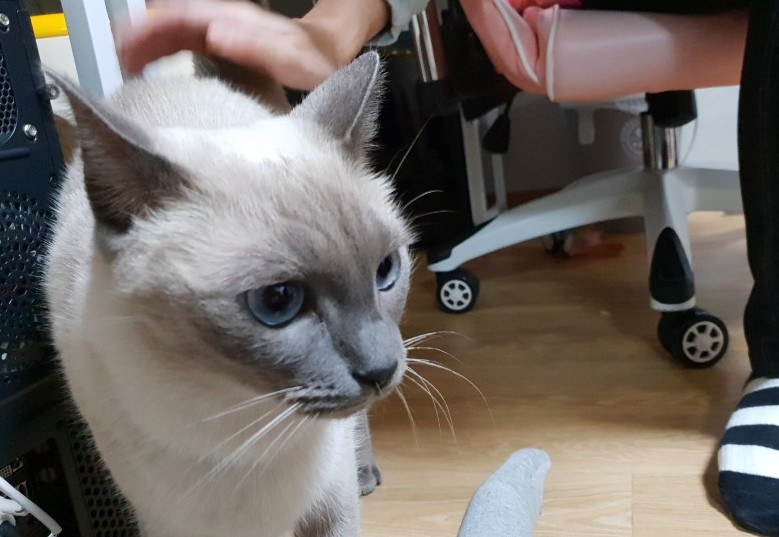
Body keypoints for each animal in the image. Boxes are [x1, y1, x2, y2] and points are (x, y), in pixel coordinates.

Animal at [43, 51, 413, 537]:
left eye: (385, 271)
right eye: (277, 300)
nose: (382, 370)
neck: (241, 426)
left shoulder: (332, 508)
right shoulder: (168, 522)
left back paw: (366, 473)